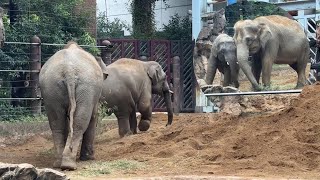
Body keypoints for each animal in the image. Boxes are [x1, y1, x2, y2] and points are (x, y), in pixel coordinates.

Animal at [38, 41, 107, 171]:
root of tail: (69, 71)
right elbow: (93, 116)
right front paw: (89, 158)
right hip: (87, 87)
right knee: (80, 122)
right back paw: (69, 165)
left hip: (51, 87)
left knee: (56, 123)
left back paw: (59, 163)